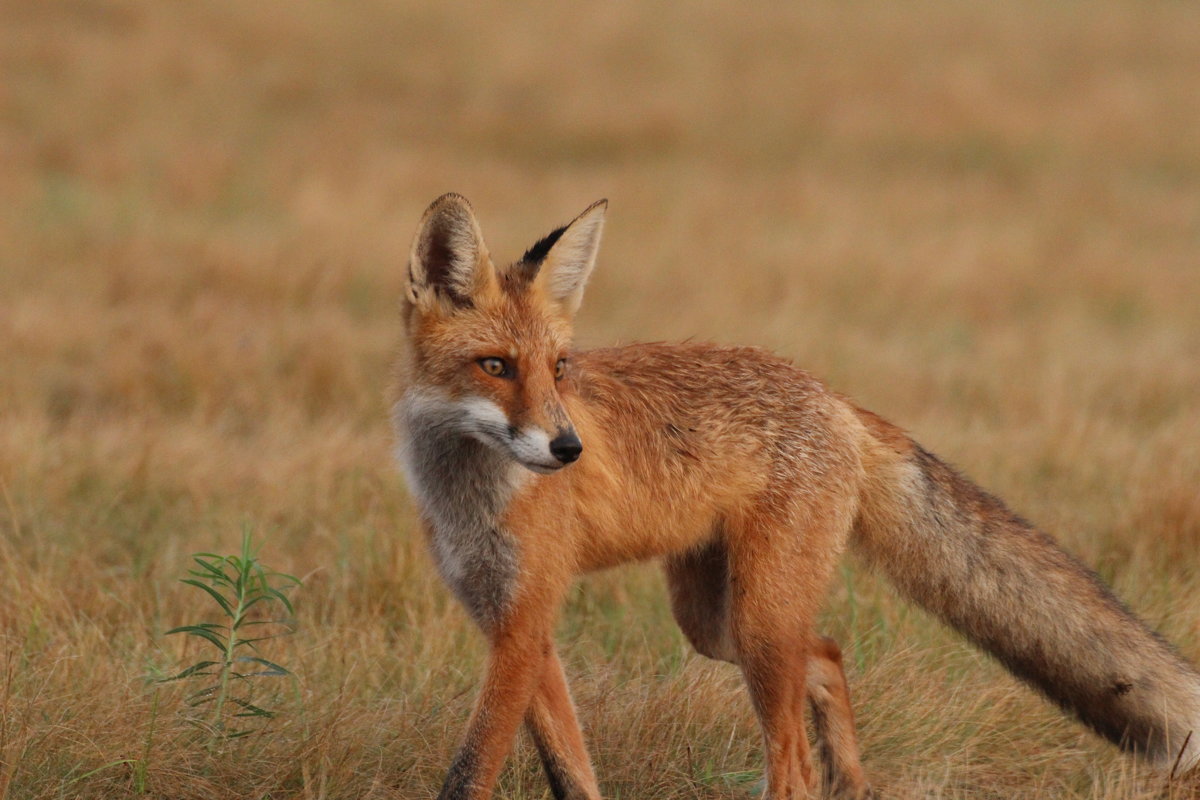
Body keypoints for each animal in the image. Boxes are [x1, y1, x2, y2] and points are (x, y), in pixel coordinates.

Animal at [396, 194, 1200, 800]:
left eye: (560, 368)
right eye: (495, 366)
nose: (567, 450)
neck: (469, 497)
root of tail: (833, 396)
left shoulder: (525, 621)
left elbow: (472, 772)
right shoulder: (509, 624)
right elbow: (569, 770)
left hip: (756, 623)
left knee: (794, 768)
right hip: (720, 622)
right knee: (828, 653)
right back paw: (856, 781)